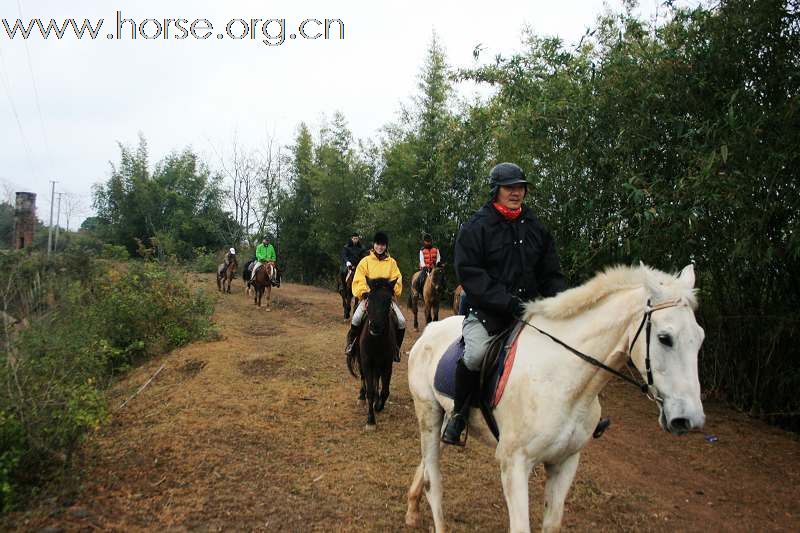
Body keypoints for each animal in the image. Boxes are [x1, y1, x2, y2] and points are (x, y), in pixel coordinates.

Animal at [406, 264, 708, 528]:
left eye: (700, 338)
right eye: (665, 338)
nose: (688, 419)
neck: (565, 381)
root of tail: (430, 331)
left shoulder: (565, 463)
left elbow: (552, 523)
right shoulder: (514, 465)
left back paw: (411, 509)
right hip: (428, 413)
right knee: (434, 480)